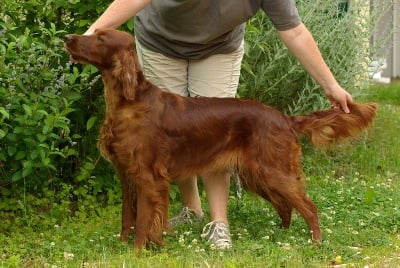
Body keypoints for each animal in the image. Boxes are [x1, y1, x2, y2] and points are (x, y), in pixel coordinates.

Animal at [64, 28, 376, 247]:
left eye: (101, 38)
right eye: (95, 32)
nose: (67, 38)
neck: (130, 102)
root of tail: (285, 118)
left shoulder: (148, 176)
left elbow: (141, 220)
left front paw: (138, 250)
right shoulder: (126, 174)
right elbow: (126, 218)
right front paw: (122, 247)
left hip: (271, 170)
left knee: (308, 206)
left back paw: (315, 242)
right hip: (258, 174)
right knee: (286, 205)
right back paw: (281, 235)